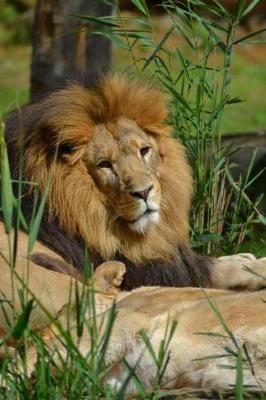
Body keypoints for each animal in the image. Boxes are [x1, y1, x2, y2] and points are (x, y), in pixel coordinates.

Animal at [2, 73, 266, 290]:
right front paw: (255, 267)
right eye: (104, 164)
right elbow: (210, 269)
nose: (144, 192)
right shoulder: (140, 270)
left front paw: (244, 257)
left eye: (144, 151)